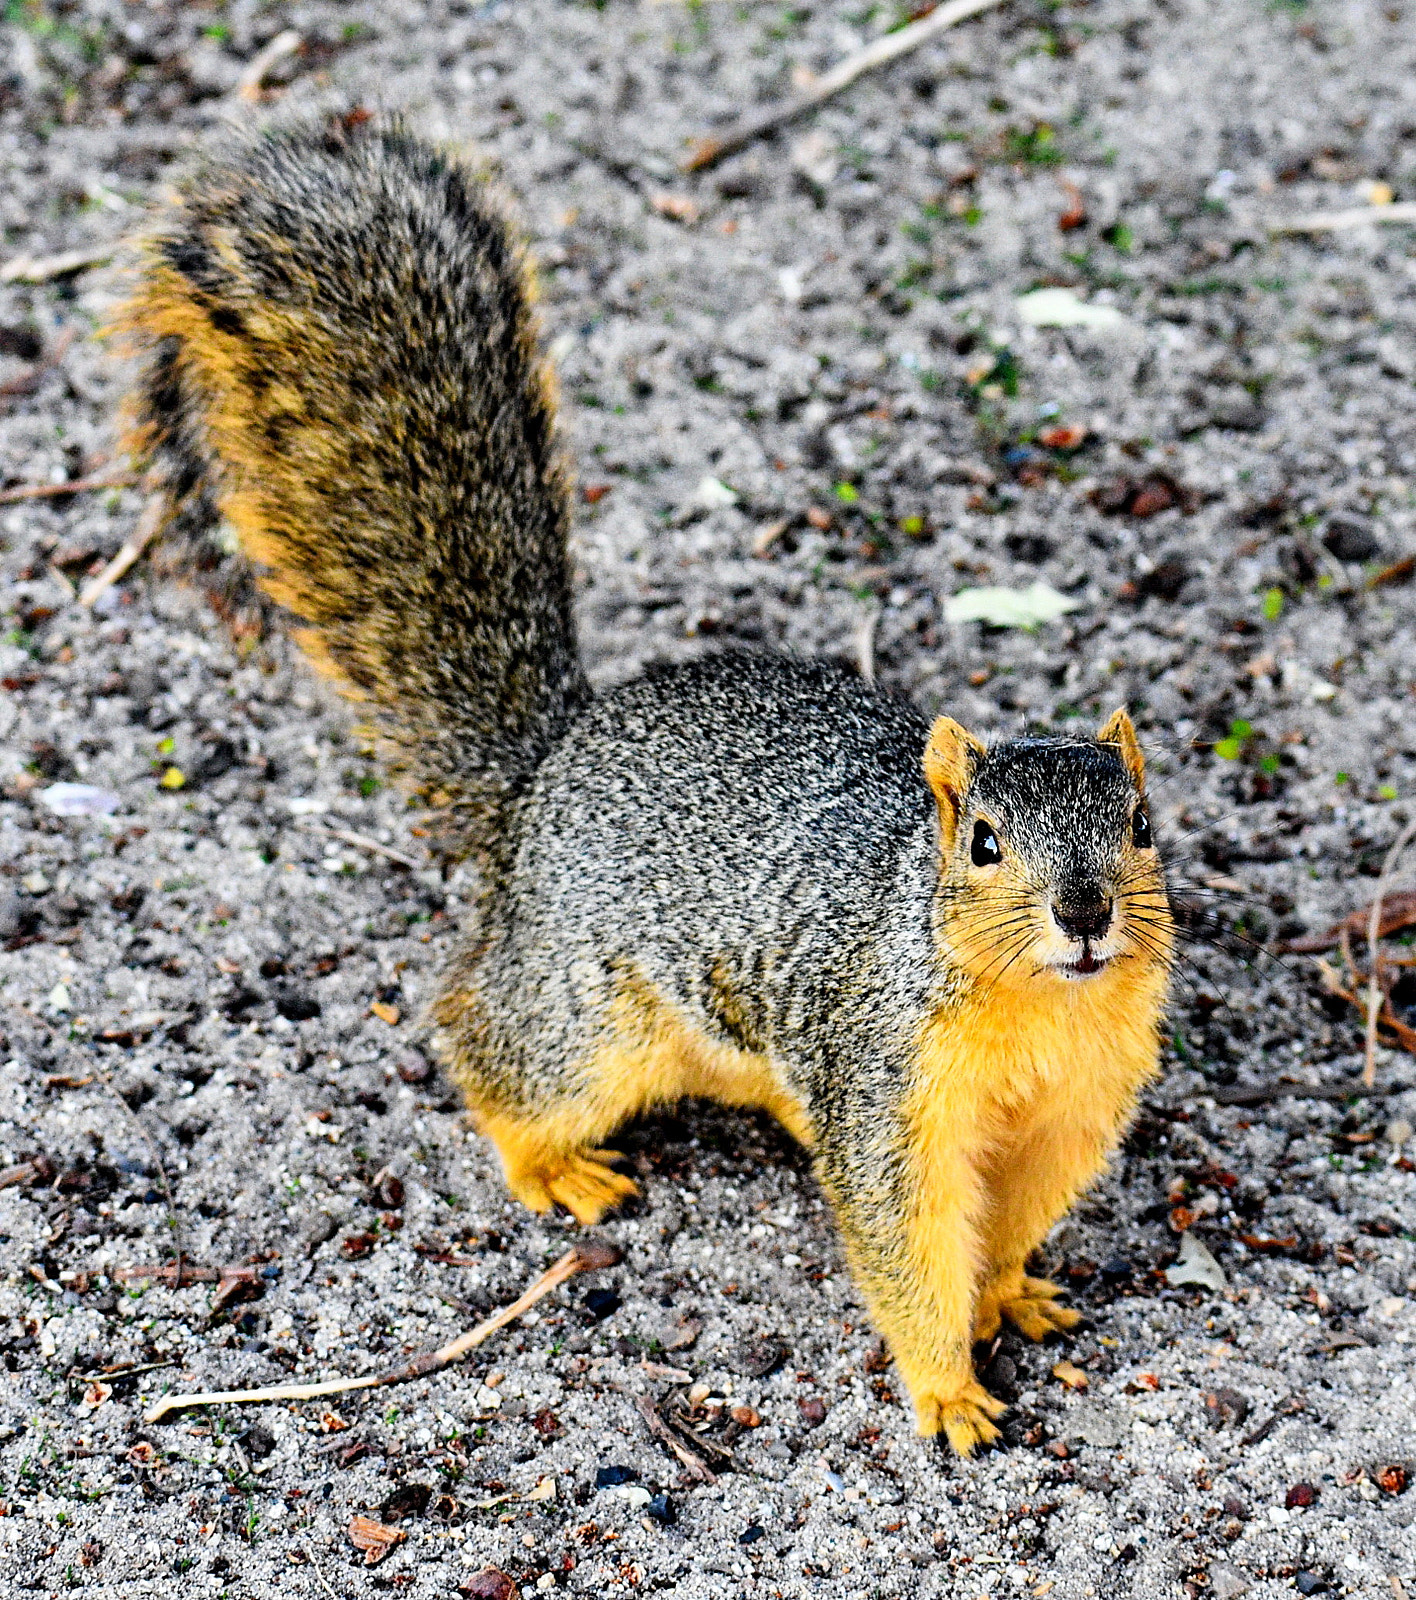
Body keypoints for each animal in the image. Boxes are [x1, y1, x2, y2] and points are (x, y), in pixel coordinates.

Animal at [118, 114, 1174, 1456]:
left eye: (1139, 823)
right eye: (983, 842)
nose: (1085, 912)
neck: (1040, 1009)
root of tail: (548, 767)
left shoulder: (1069, 1114)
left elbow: (1011, 1222)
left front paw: (1012, 1295)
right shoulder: (888, 1098)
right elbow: (908, 1244)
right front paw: (945, 1388)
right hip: (587, 1015)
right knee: (486, 1045)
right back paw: (549, 1164)